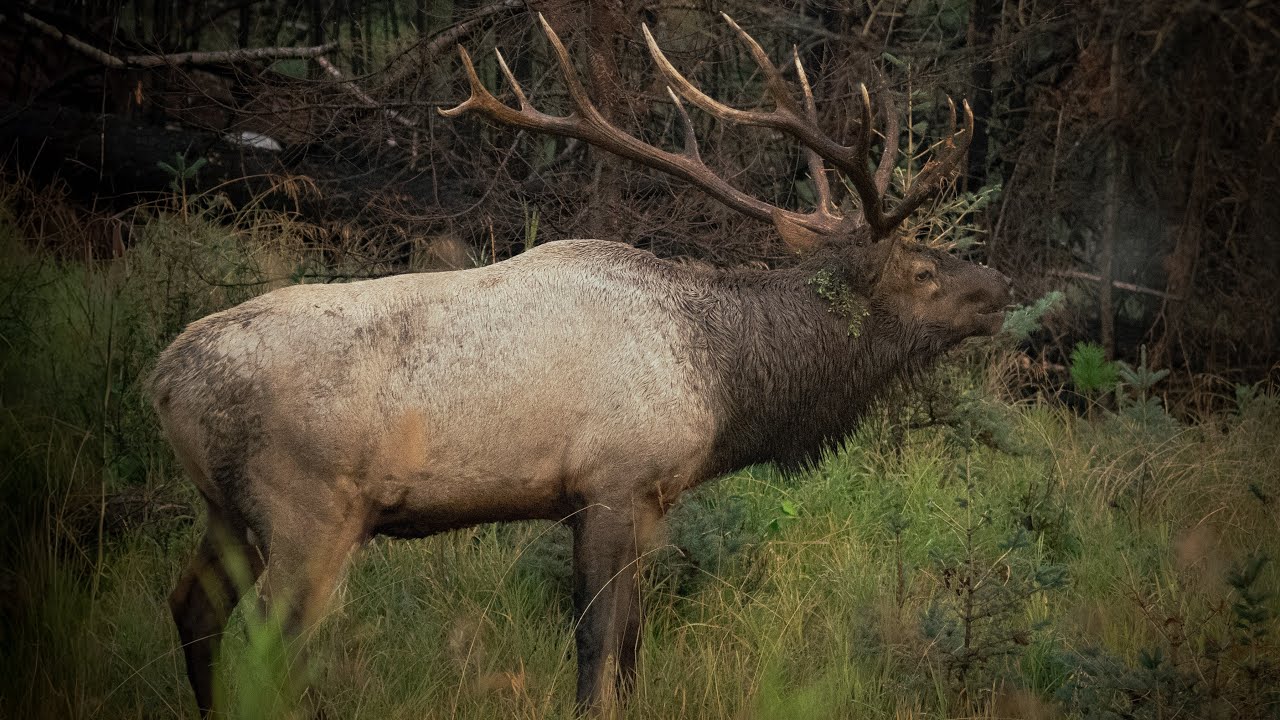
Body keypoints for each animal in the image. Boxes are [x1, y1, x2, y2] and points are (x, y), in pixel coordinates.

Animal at [152, 13, 1012, 716]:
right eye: (922, 271)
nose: (1000, 288)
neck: (721, 382)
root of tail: (162, 381)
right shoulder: (612, 483)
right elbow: (597, 653)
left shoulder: (644, 504)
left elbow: (630, 654)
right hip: (307, 509)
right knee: (265, 643)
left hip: (228, 509)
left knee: (192, 607)